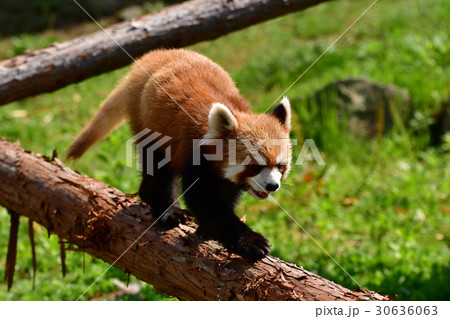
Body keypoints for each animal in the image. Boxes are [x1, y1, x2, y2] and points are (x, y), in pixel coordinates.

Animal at [67, 49, 292, 260]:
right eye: (254, 166)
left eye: (280, 166)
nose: (272, 186)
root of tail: (154, 56)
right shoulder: (196, 157)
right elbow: (205, 202)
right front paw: (250, 241)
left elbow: (225, 196)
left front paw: (207, 229)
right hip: (150, 124)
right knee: (158, 171)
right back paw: (166, 210)